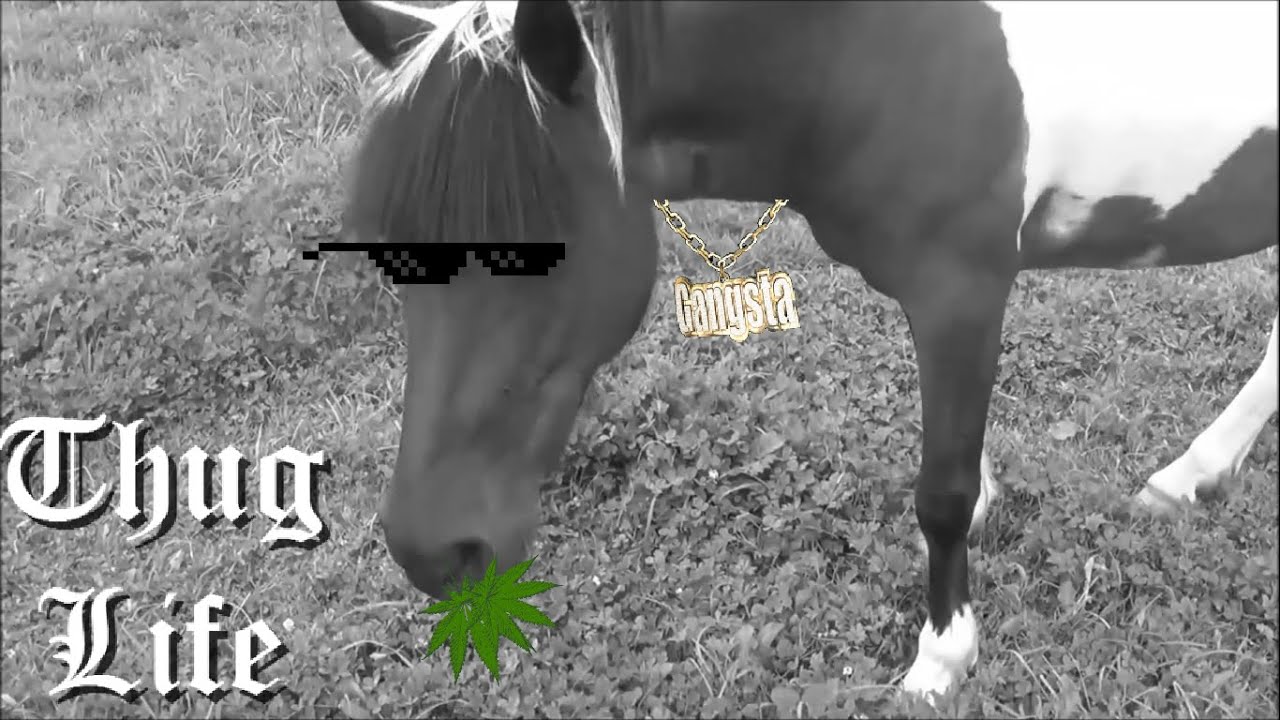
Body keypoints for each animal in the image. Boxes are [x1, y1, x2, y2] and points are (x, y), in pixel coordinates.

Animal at [333, 0, 1278, 699]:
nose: (434, 552)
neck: (868, 53)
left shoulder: (963, 292)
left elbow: (940, 493)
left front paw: (942, 654)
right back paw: (1192, 476)